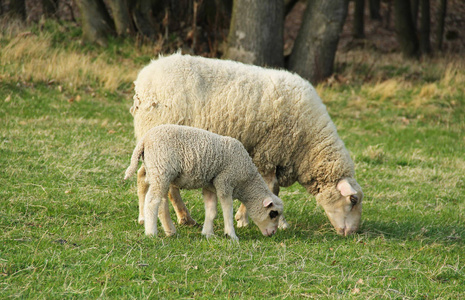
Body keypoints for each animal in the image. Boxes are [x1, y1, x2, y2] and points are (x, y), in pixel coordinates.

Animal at [123, 123, 282, 240]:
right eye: (273, 213)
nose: (273, 234)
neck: (246, 180)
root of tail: (144, 140)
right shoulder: (225, 181)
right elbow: (227, 210)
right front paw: (231, 235)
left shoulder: (210, 186)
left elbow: (211, 211)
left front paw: (208, 233)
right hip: (161, 170)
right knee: (152, 202)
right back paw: (151, 233)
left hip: (159, 174)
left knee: (161, 202)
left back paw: (170, 231)